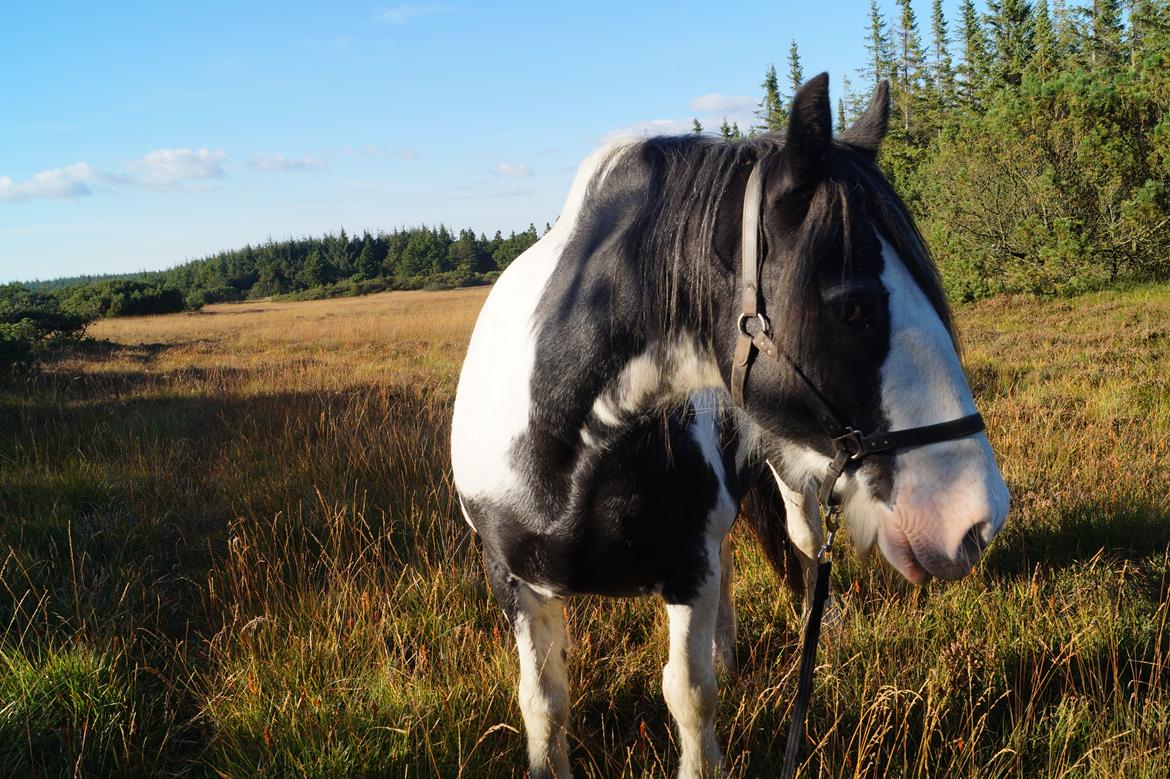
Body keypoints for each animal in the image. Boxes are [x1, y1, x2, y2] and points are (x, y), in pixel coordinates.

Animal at [446, 74, 1006, 776]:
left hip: (793, 485)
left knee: (798, 549)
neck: (558, 456)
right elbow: (544, 706)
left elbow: (688, 694)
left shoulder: (689, 570)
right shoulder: (515, 583)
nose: (977, 519)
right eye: (852, 306)